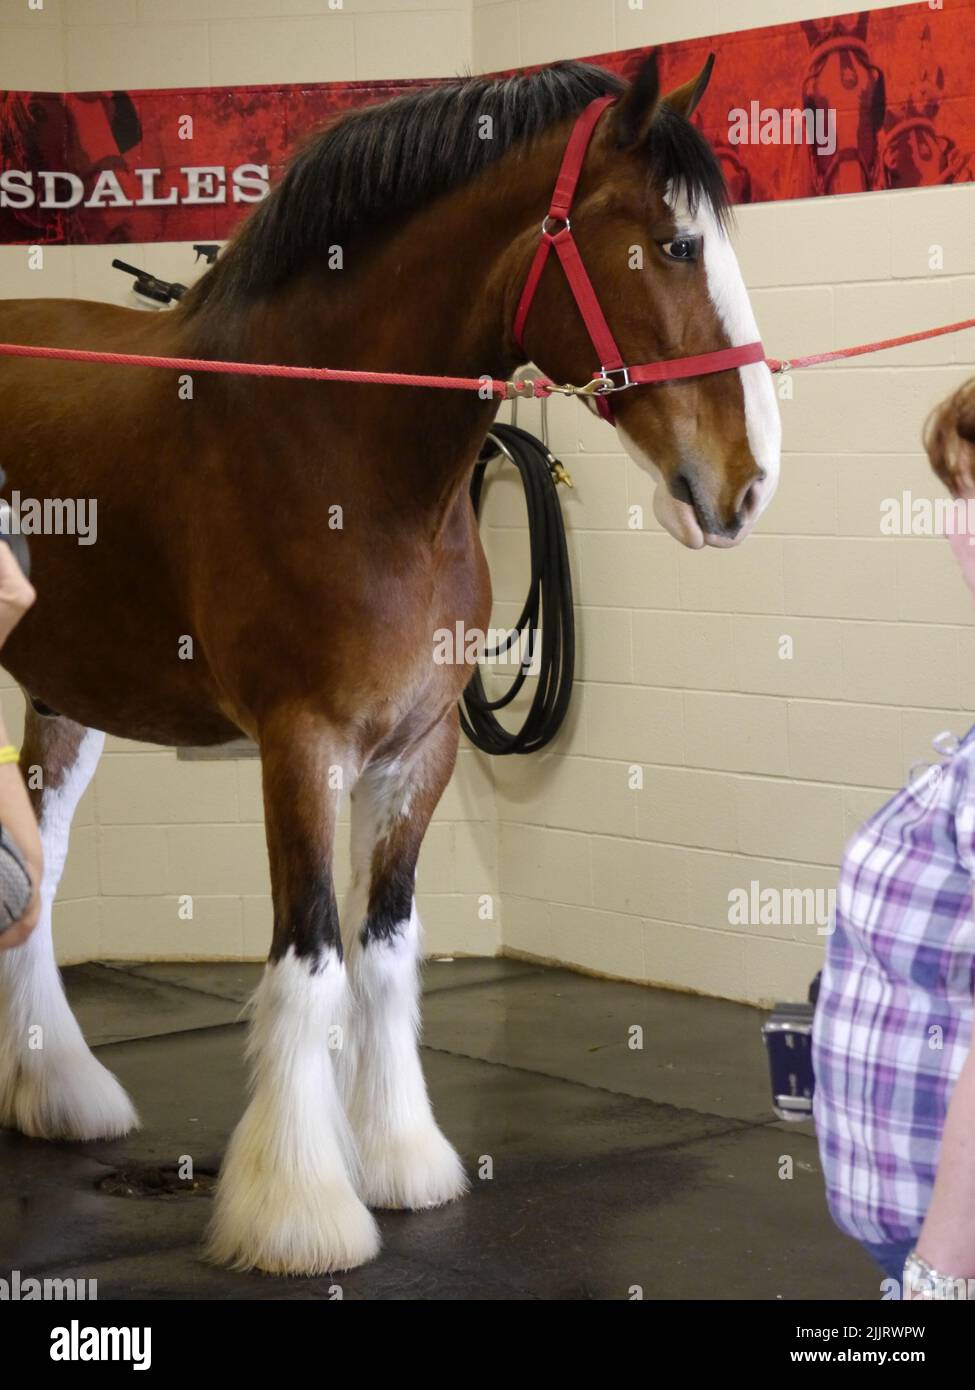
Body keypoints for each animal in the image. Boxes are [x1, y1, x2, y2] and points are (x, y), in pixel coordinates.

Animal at [0, 54, 778, 1273]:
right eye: (676, 243)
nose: (748, 482)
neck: (339, 445)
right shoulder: (300, 744)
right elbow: (311, 959)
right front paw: (299, 1209)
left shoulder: (420, 749)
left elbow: (383, 952)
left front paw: (401, 1159)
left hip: (67, 693)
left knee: (44, 860)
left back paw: (59, 1089)